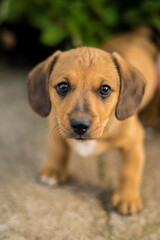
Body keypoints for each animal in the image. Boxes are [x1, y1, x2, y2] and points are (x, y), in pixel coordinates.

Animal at [27, 27, 159, 215]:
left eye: (105, 89)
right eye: (63, 86)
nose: (80, 126)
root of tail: (138, 33)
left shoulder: (133, 143)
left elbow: (129, 172)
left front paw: (127, 197)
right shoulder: (56, 124)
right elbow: (58, 149)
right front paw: (53, 170)